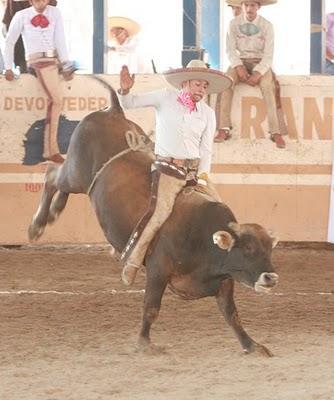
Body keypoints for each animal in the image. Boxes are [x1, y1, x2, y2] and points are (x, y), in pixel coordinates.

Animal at [28, 81, 280, 356]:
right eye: (247, 249)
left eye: (269, 250)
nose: (271, 277)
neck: (203, 238)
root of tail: (114, 111)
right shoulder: (158, 271)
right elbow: (151, 307)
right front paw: (144, 343)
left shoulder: (224, 282)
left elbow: (231, 315)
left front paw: (252, 345)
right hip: (75, 174)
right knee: (52, 175)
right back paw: (37, 226)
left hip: (77, 179)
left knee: (58, 182)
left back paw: (55, 211)